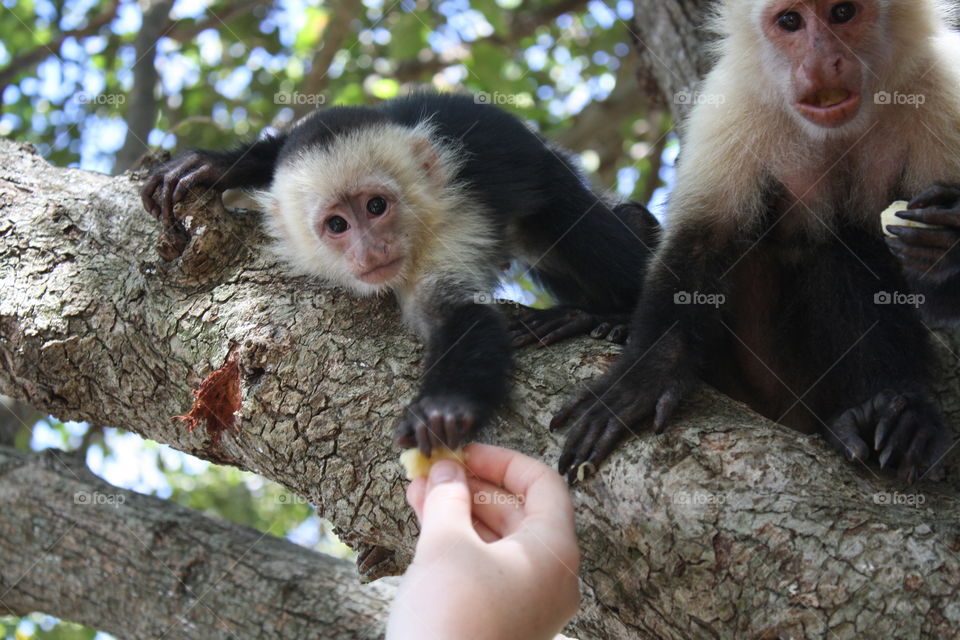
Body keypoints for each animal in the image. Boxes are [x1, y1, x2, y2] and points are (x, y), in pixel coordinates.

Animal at [141, 92, 660, 458]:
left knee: (570, 219)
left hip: (551, 173)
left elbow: (458, 313)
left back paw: (608, 316)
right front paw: (215, 166)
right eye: (337, 225)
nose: (371, 250)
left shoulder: (451, 221)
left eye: (376, 206)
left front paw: (443, 407)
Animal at [552, 0, 960, 482]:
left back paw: (891, 408)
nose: (819, 61)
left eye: (843, 12)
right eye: (790, 21)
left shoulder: (943, 92)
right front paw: (645, 375)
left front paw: (947, 244)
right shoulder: (734, 102)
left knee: (848, 241)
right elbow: (702, 242)